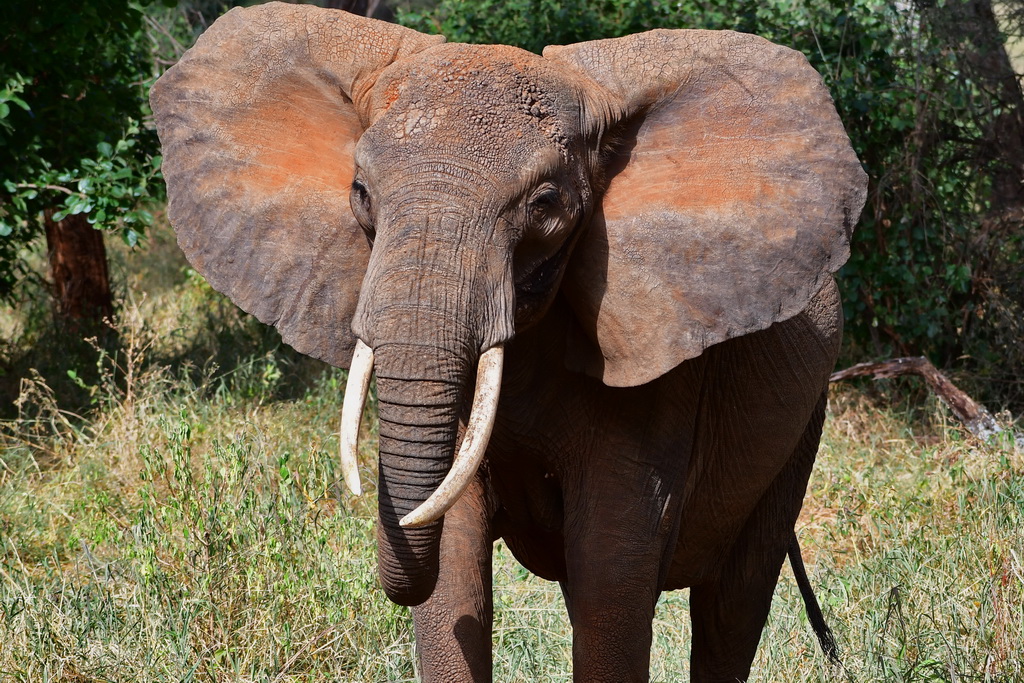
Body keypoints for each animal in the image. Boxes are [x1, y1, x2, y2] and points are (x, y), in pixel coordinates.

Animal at [151, 3, 868, 679]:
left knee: (732, 605)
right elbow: (454, 563)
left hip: (803, 422)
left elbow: (611, 570)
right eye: (360, 193)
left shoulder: (662, 371)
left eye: (545, 204)